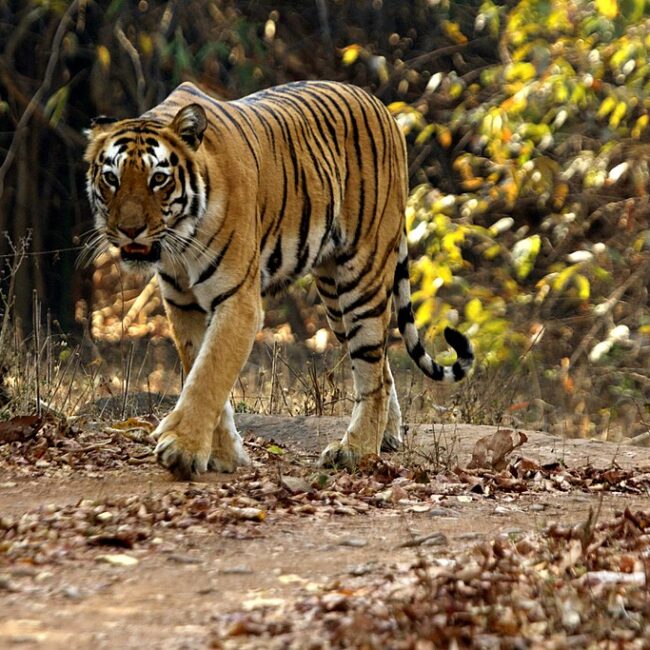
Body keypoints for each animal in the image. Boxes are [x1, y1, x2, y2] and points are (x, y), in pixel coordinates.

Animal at [83, 78, 474, 478]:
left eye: (158, 179)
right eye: (112, 179)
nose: (130, 231)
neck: (180, 241)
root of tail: (383, 108)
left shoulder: (237, 301)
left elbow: (209, 374)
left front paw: (183, 449)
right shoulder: (182, 303)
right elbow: (200, 371)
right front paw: (223, 455)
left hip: (361, 277)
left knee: (373, 371)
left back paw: (356, 451)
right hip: (334, 297)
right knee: (381, 366)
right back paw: (387, 436)